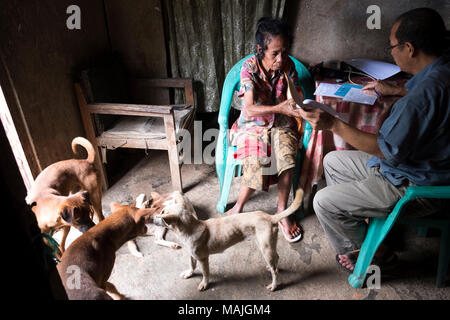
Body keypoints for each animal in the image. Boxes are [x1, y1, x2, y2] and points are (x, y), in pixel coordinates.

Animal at [153, 189, 304, 292]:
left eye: (162, 213)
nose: (151, 218)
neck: (190, 227)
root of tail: (270, 217)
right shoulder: (192, 255)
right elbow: (191, 265)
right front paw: (189, 273)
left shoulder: (203, 259)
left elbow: (205, 273)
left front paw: (204, 284)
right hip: (267, 245)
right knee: (276, 258)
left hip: (265, 248)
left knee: (275, 271)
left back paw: (274, 285)